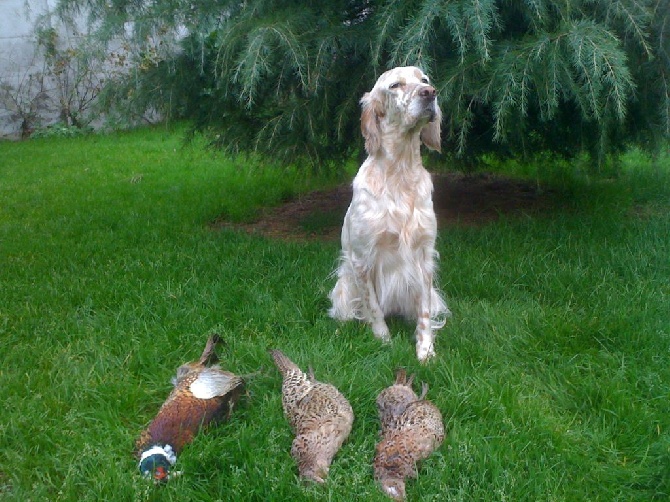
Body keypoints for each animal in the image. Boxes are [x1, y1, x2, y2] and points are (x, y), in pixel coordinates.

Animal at [330, 66, 452, 362]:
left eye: (424, 80)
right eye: (395, 85)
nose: (430, 93)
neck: (401, 171)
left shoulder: (424, 255)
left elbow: (423, 313)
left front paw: (425, 350)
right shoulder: (362, 259)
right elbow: (373, 307)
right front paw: (383, 341)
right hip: (343, 286)